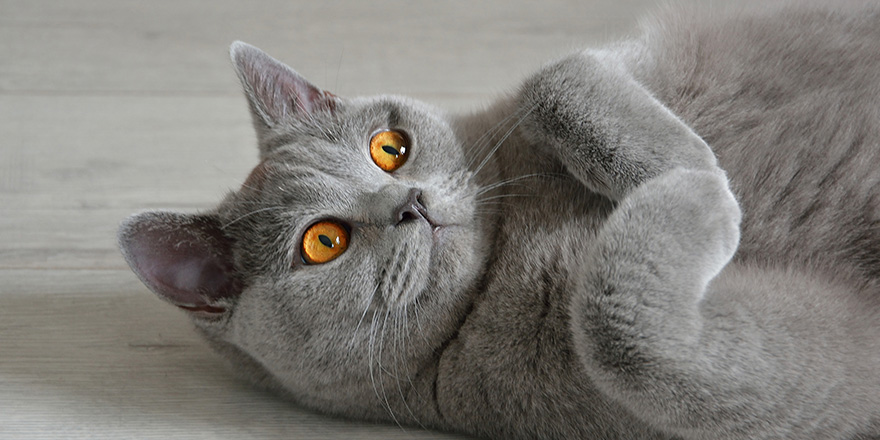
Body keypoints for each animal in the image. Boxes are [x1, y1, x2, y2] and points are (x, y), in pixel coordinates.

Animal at [118, 1, 880, 438]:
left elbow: (555, 77)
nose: (411, 203)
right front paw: (705, 185)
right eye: (323, 242)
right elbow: (624, 335)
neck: (505, 258)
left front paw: (693, 161)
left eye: (390, 149)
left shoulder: (582, 71)